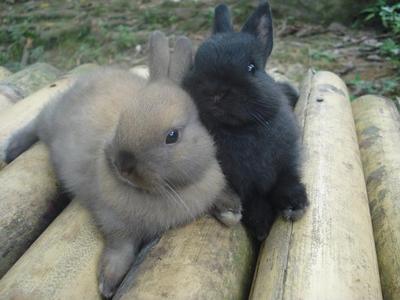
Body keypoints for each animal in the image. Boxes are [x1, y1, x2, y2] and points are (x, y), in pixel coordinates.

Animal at [6, 31, 241, 298]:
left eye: (172, 136)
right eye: (123, 118)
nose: (123, 164)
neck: (167, 191)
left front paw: (231, 212)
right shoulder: (114, 221)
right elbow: (121, 248)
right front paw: (108, 283)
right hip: (51, 119)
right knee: (36, 122)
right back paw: (12, 148)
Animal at [183, 1, 308, 240]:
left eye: (251, 68)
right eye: (195, 64)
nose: (215, 92)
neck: (240, 130)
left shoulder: (287, 159)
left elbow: (287, 179)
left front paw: (295, 206)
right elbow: (232, 192)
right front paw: (236, 214)